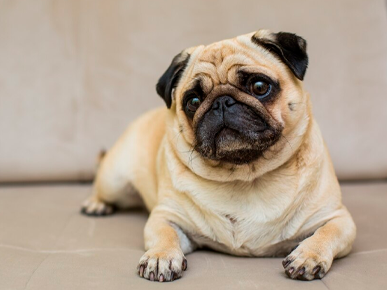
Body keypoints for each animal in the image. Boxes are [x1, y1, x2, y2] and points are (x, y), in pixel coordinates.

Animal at [81, 29, 358, 280]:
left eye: (260, 87)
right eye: (193, 101)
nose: (221, 102)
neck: (246, 176)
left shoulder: (337, 218)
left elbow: (326, 234)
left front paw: (308, 256)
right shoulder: (166, 217)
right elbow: (164, 234)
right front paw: (160, 257)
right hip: (114, 180)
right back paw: (96, 204)